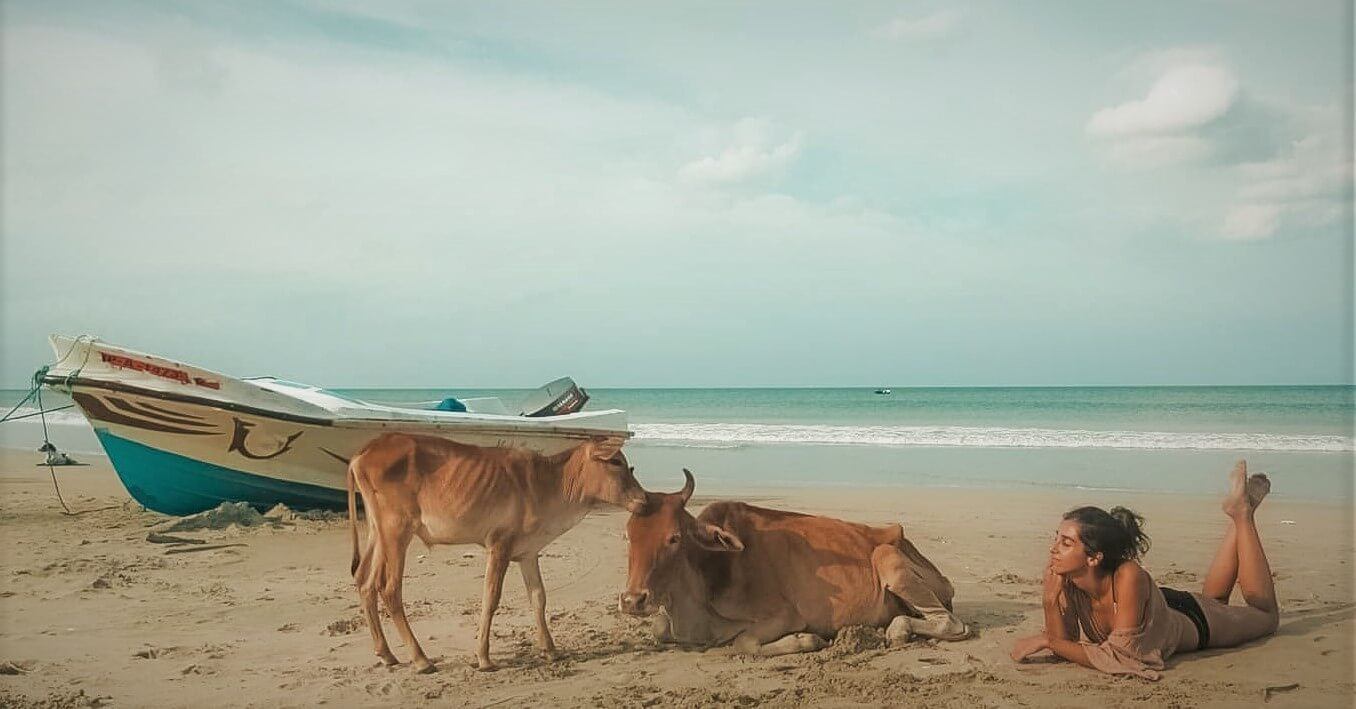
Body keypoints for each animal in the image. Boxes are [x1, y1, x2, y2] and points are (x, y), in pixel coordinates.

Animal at [347, 433, 648, 672]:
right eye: (616, 462)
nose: (644, 499)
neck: (551, 483)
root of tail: (364, 452)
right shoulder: (499, 545)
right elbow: (490, 599)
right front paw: (484, 658)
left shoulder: (528, 552)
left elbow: (538, 598)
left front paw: (550, 649)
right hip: (397, 529)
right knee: (389, 589)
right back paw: (421, 659)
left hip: (378, 530)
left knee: (365, 581)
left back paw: (387, 654)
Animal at [621, 469, 970, 658]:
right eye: (627, 536)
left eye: (674, 538)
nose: (632, 600)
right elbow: (659, 628)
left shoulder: (786, 614)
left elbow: (744, 642)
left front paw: (808, 640)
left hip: (887, 557)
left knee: (951, 623)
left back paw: (897, 630)